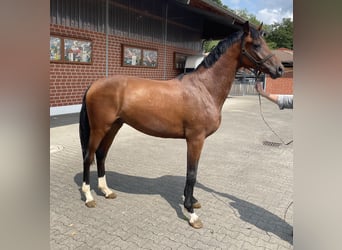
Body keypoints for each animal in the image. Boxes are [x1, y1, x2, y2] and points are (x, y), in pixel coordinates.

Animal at [79, 21, 284, 229]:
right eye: (256, 45)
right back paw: (89, 197)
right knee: (88, 157)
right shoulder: (195, 139)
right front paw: (191, 213)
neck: (204, 88)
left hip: (114, 126)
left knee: (101, 154)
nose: (280, 69)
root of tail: (95, 84)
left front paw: (191, 201)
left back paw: (106, 191)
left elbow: (192, 172)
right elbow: (192, 173)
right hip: (99, 128)